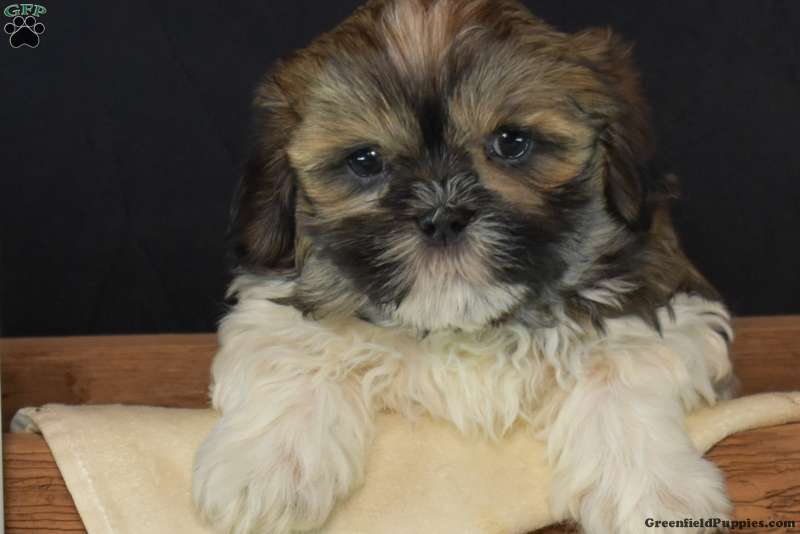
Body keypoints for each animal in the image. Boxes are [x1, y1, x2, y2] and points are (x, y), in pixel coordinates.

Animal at [192, 1, 735, 533]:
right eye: (365, 161)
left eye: (512, 142)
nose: (443, 217)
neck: (466, 325)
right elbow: (294, 348)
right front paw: (264, 471)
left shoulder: (661, 298)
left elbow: (618, 366)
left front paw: (657, 493)